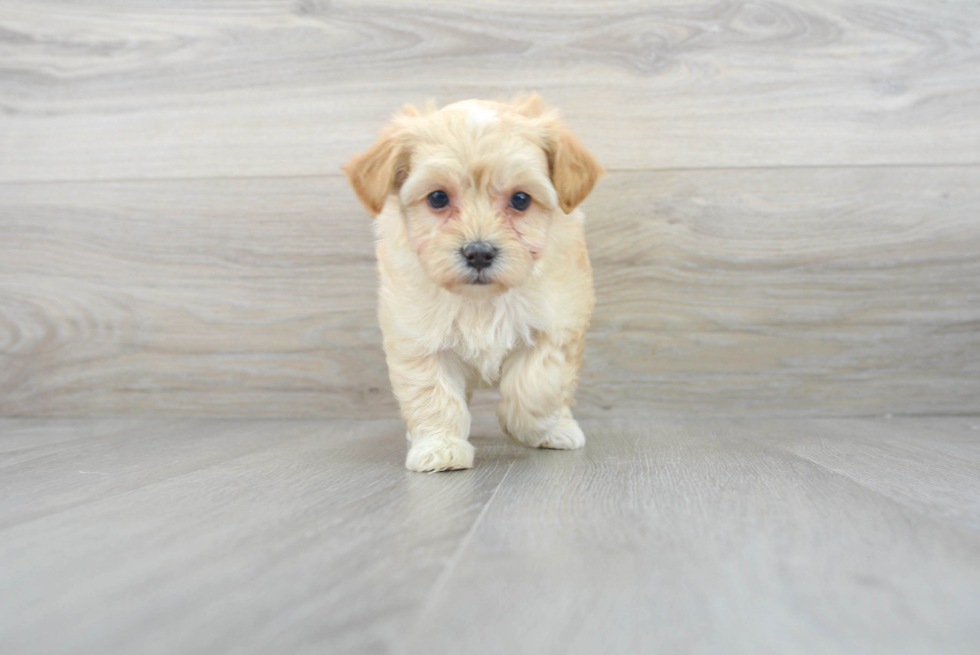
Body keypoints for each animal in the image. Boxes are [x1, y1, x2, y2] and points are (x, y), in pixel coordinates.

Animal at [344, 95, 604, 472]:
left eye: (521, 200)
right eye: (438, 198)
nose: (479, 253)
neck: (482, 299)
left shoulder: (556, 323)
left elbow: (536, 385)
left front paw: (529, 427)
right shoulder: (419, 337)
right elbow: (432, 394)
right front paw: (440, 447)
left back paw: (560, 428)